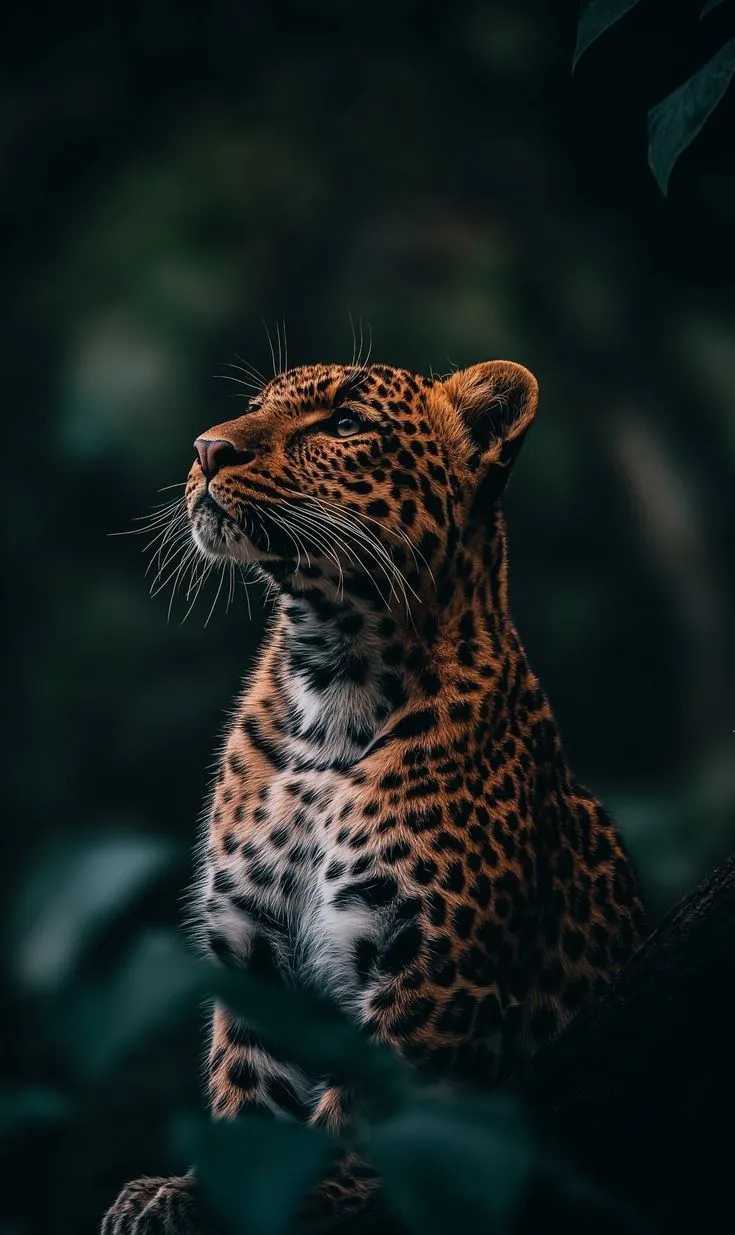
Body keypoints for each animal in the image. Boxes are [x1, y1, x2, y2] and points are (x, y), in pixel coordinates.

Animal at [102, 358, 645, 1234]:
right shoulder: (253, 948)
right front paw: (191, 1192)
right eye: (255, 409)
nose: (207, 448)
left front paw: (330, 1191)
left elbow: (375, 1101)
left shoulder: (432, 964)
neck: (330, 681)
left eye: (345, 424)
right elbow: (247, 1092)